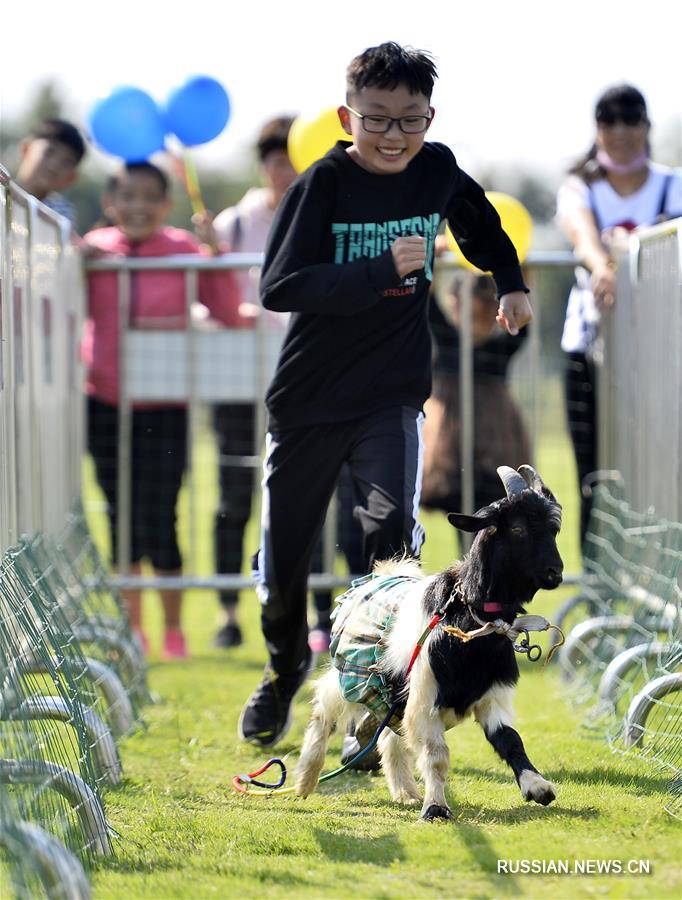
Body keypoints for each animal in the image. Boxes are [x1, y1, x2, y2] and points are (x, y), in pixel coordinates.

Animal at [294, 468, 560, 820]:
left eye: (555, 529)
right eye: (518, 528)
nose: (556, 573)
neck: (471, 625)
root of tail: (383, 573)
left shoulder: (491, 697)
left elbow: (510, 740)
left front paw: (537, 786)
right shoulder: (425, 697)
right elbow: (436, 756)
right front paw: (436, 807)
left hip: (388, 695)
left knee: (390, 737)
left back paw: (405, 791)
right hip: (352, 673)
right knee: (324, 707)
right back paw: (305, 779)